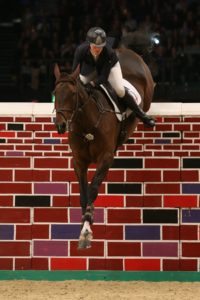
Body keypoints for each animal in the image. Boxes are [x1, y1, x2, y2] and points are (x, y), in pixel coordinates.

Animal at [53, 46, 155, 248]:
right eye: (55, 93)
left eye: (73, 95)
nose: (60, 125)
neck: (87, 124)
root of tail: (126, 51)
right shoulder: (79, 161)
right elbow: (83, 194)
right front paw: (85, 223)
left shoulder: (106, 158)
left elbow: (93, 189)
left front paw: (86, 230)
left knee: (128, 94)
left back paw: (146, 117)